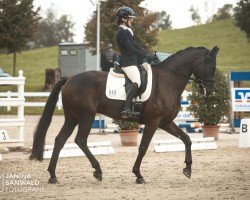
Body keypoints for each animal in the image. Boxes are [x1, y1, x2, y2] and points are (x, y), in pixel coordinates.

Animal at [30, 46, 220, 184]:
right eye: (211, 67)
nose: (209, 91)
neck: (168, 81)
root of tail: (69, 79)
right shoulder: (153, 122)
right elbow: (143, 147)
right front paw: (138, 175)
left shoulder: (165, 122)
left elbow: (186, 139)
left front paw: (187, 169)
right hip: (86, 116)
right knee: (80, 140)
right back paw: (97, 171)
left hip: (72, 117)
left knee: (60, 140)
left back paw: (53, 175)